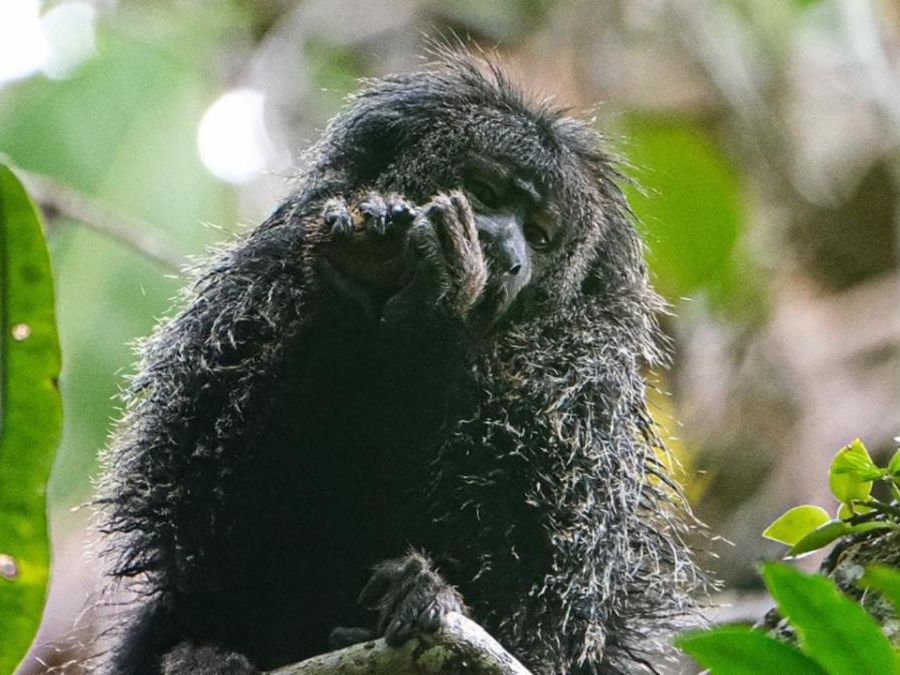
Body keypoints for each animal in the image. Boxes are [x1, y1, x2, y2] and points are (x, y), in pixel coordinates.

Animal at [91, 51, 703, 675]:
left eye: (539, 236)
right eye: (484, 191)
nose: (507, 251)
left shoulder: (585, 380)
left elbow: (548, 557)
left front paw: (440, 307)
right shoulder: (258, 284)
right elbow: (203, 510)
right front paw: (354, 294)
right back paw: (206, 657)